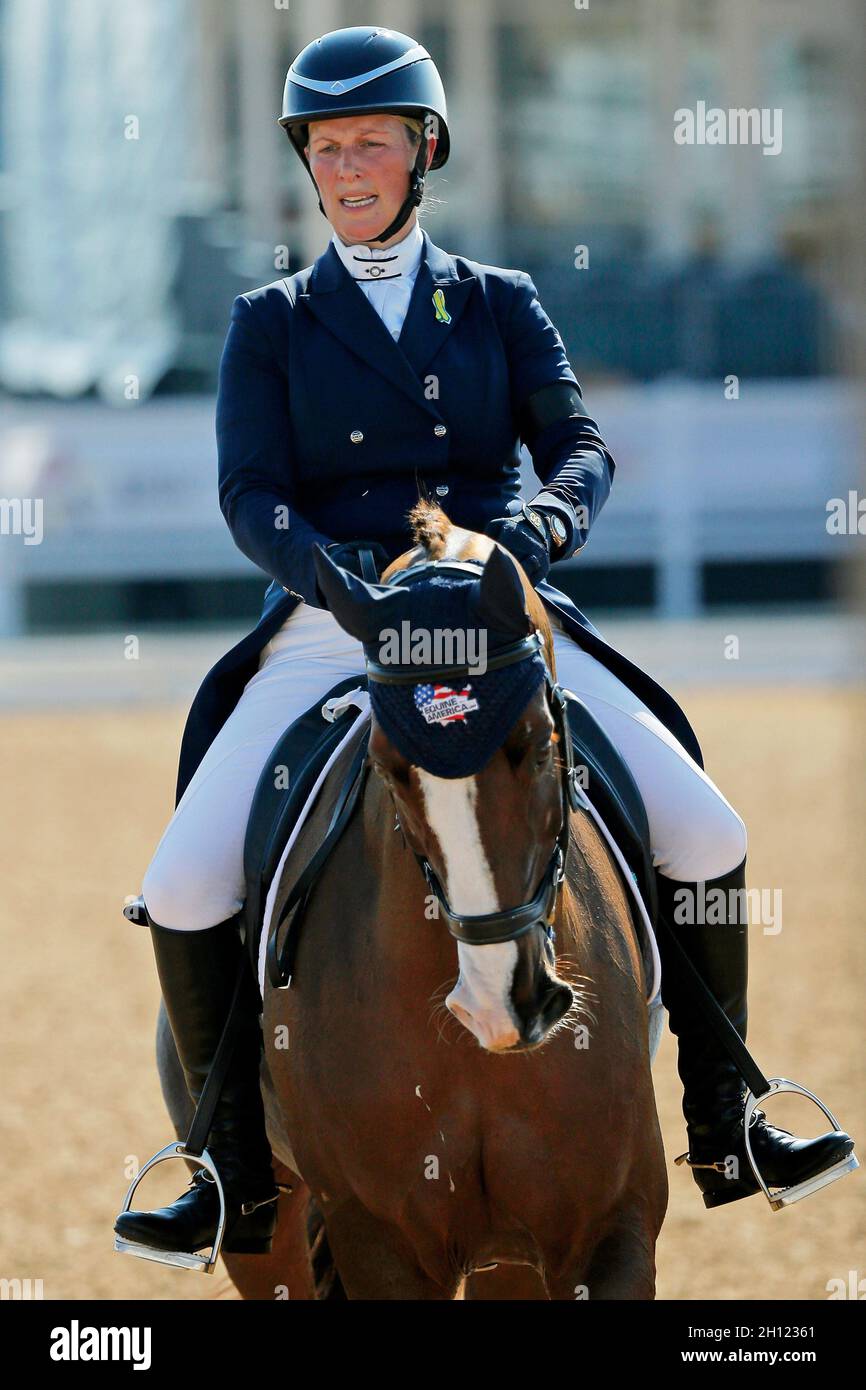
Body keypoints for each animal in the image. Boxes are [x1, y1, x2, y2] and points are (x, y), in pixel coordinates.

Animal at [159, 505, 667, 1295]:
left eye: (538, 742)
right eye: (389, 765)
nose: (503, 1004)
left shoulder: (613, 1225)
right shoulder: (379, 1239)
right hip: (265, 1233)